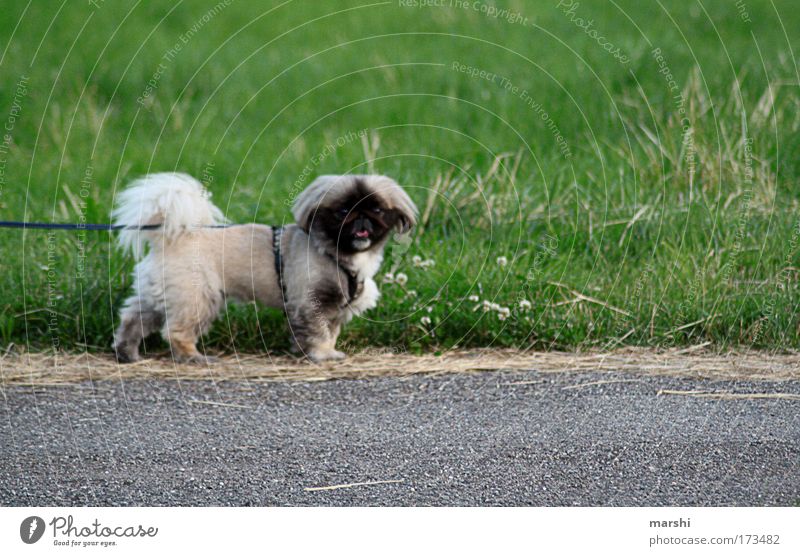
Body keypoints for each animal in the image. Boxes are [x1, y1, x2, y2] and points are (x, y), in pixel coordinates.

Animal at [112, 174, 418, 364]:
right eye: (342, 211)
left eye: (376, 210)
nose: (361, 218)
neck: (337, 253)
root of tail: (171, 236)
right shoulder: (311, 304)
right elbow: (318, 333)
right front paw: (322, 355)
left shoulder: (332, 309)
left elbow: (329, 333)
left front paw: (320, 352)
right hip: (197, 297)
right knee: (175, 331)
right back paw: (193, 357)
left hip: (159, 293)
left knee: (133, 319)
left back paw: (127, 353)